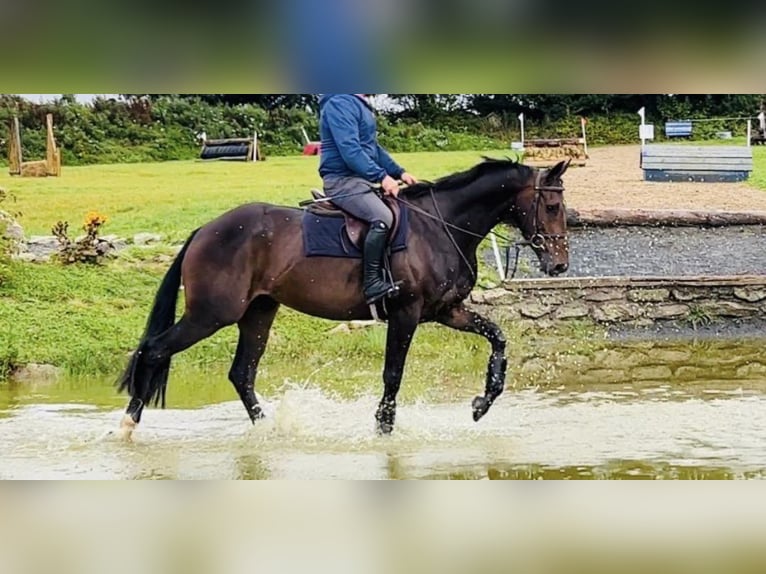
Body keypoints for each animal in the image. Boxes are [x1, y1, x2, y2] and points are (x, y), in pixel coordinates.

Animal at [117, 157, 570, 438]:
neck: (441, 227)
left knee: (241, 373)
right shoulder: (406, 314)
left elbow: (498, 338)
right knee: (155, 350)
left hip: (258, 313)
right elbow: (393, 375)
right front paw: (383, 430)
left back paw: (270, 431)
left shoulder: (447, 311)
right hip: (211, 314)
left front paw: (482, 403)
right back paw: (128, 425)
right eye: (551, 206)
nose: (560, 265)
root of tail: (206, 230)